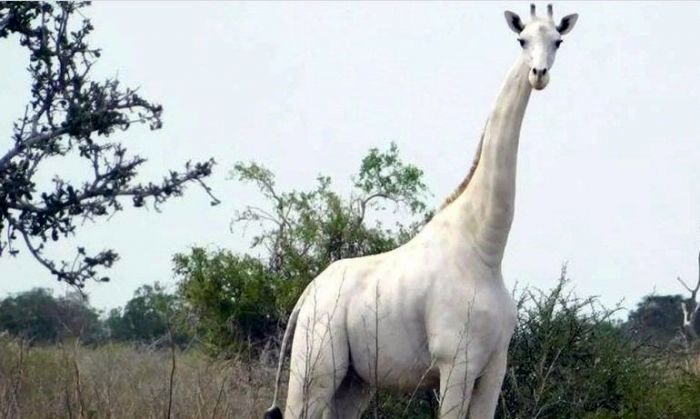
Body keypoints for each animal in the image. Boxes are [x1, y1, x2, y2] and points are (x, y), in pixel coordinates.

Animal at [264, 4, 578, 418]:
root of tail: (305, 297)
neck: (485, 250)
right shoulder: (456, 362)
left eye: (557, 41)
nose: (539, 75)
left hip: (354, 380)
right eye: (522, 39)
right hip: (315, 369)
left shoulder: (494, 368)